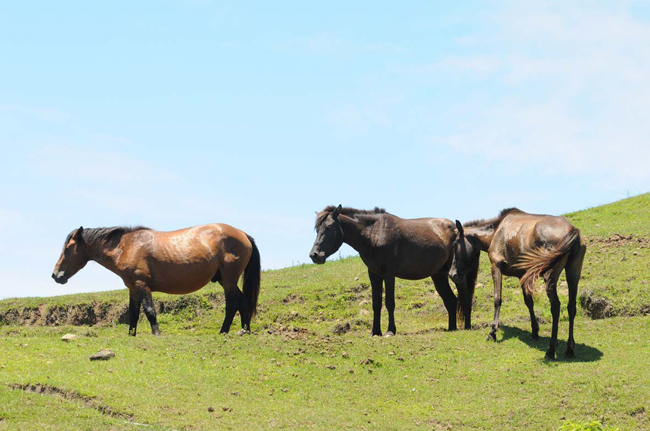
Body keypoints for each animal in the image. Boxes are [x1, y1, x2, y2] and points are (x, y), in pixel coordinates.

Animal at [52, 224, 260, 340]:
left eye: (68, 249)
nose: (56, 275)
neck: (127, 247)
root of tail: (243, 234)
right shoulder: (133, 289)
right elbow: (133, 314)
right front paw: (131, 335)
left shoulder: (142, 285)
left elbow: (150, 311)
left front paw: (156, 334)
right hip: (225, 281)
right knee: (241, 303)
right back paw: (240, 331)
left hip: (229, 281)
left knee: (233, 304)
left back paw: (229, 331)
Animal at [448, 209, 584, 362]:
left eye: (455, 244)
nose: (451, 274)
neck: (496, 231)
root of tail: (573, 231)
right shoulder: (522, 275)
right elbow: (529, 302)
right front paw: (535, 331)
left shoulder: (496, 265)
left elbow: (497, 299)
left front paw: (493, 331)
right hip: (573, 274)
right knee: (571, 307)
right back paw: (570, 349)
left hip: (550, 276)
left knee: (555, 306)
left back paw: (550, 350)